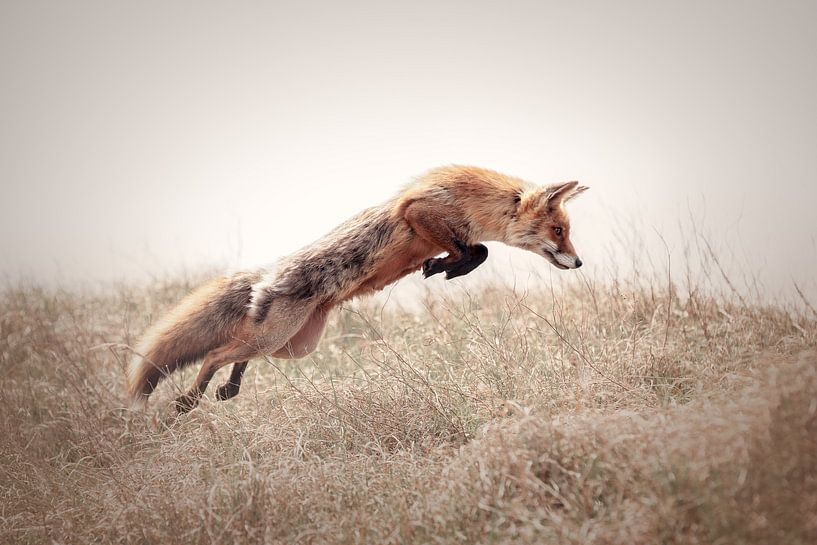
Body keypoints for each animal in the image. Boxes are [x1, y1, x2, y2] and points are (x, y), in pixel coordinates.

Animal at [127, 165, 588, 412]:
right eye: (559, 231)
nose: (580, 262)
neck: (479, 202)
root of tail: (266, 273)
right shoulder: (419, 212)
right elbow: (478, 250)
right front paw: (446, 267)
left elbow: (478, 250)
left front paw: (444, 266)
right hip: (278, 337)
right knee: (217, 354)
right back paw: (189, 400)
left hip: (292, 345)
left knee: (236, 354)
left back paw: (228, 389)